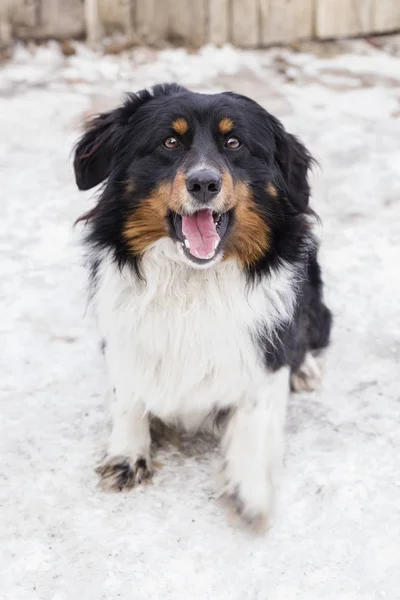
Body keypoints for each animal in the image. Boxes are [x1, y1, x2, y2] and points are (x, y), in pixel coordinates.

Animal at [73, 83, 332, 524]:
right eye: (170, 142)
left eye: (234, 143)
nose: (204, 183)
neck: (193, 279)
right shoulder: (122, 335)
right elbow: (127, 395)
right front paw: (127, 454)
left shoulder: (264, 353)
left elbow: (256, 410)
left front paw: (250, 484)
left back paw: (306, 370)